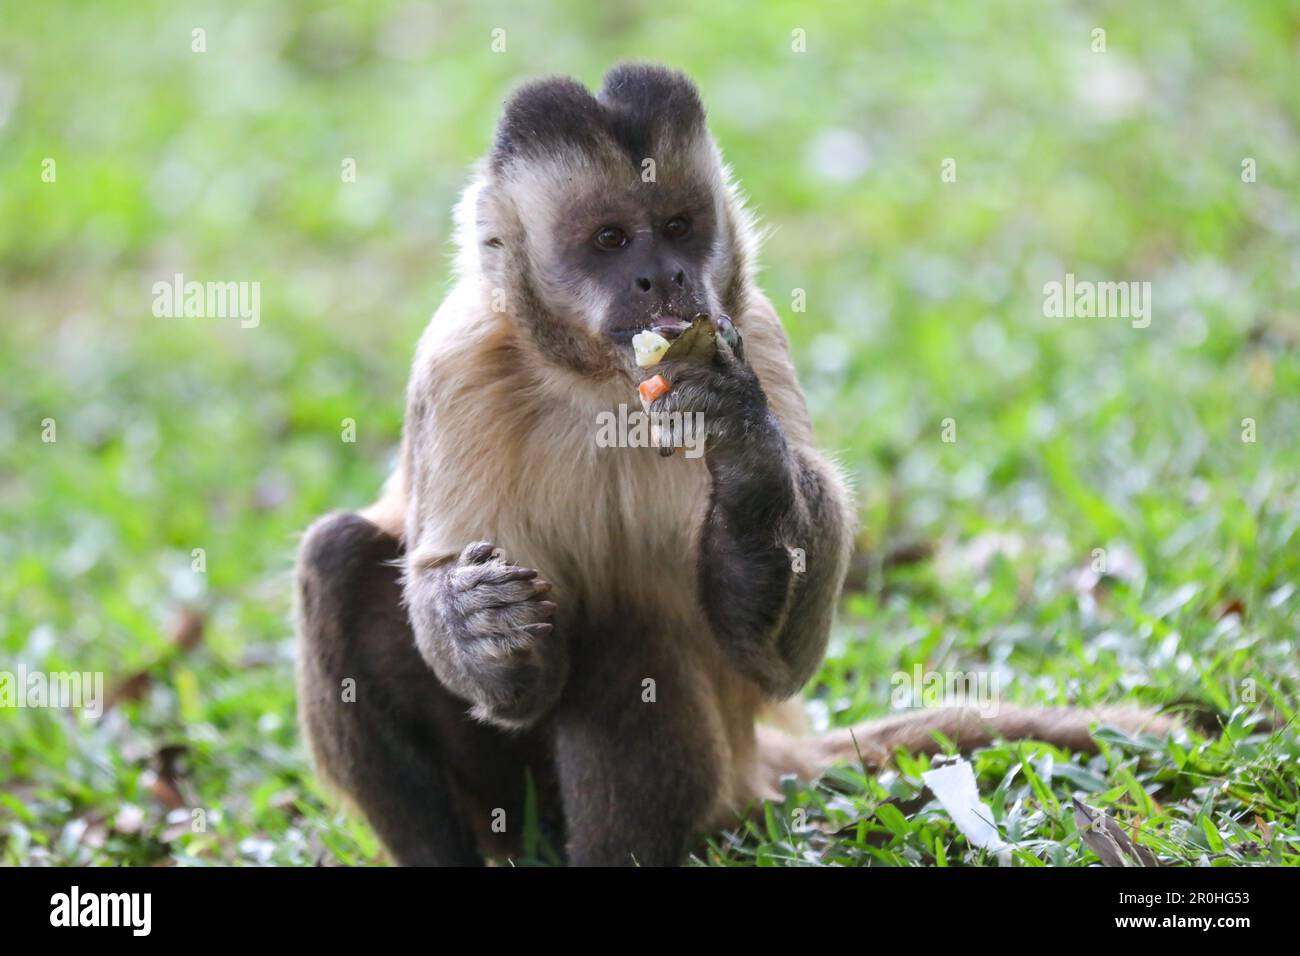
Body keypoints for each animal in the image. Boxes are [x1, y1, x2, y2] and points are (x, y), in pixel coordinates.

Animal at [297, 61, 1180, 868]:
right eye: (612, 239)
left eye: (679, 224)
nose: (663, 275)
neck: (600, 380)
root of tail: (759, 764)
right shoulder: (457, 362)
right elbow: (481, 637)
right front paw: (483, 623)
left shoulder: (749, 329)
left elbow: (777, 659)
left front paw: (748, 457)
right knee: (337, 559)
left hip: (725, 784)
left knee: (628, 633)